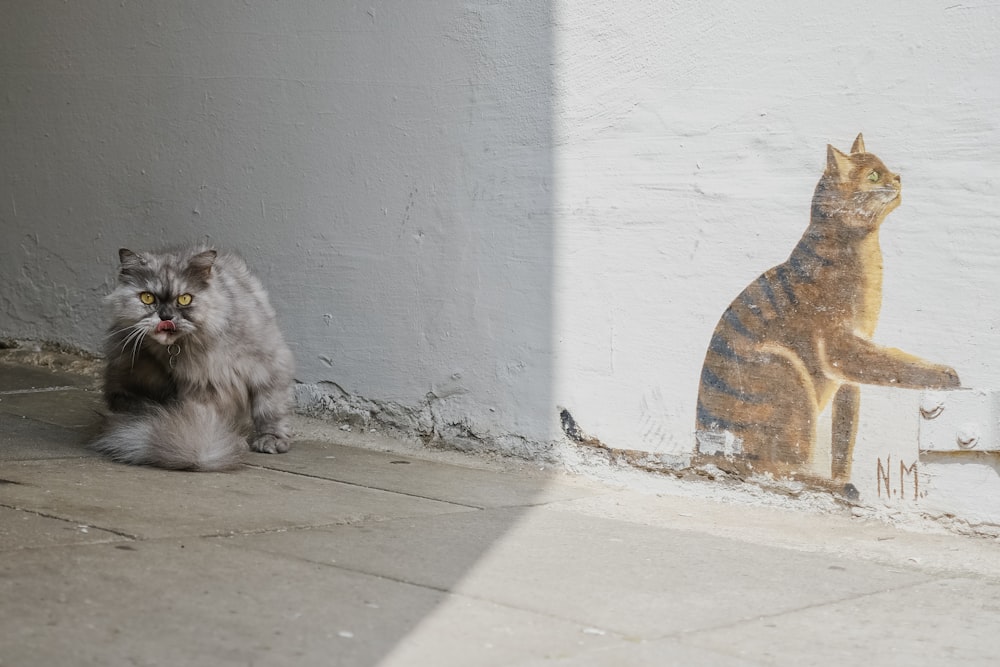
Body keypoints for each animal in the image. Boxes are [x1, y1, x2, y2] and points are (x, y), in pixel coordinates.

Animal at [91, 248, 294, 472]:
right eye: (147, 298)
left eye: (185, 299)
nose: (165, 316)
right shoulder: (198, 388)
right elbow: (203, 419)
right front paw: (215, 439)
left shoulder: (268, 363)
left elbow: (270, 408)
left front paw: (271, 439)